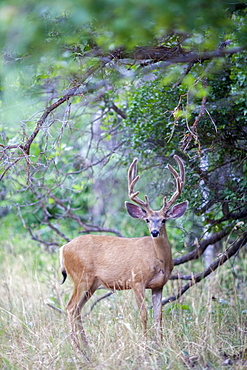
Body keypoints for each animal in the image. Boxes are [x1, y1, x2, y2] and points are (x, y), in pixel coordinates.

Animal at [59, 155, 187, 348]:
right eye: (147, 220)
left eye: (164, 220)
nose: (154, 232)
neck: (159, 260)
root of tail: (63, 248)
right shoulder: (137, 280)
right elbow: (144, 314)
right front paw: (145, 345)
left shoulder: (159, 285)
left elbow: (159, 316)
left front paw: (161, 344)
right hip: (81, 276)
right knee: (70, 307)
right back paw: (78, 349)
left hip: (92, 283)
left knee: (77, 309)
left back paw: (87, 347)